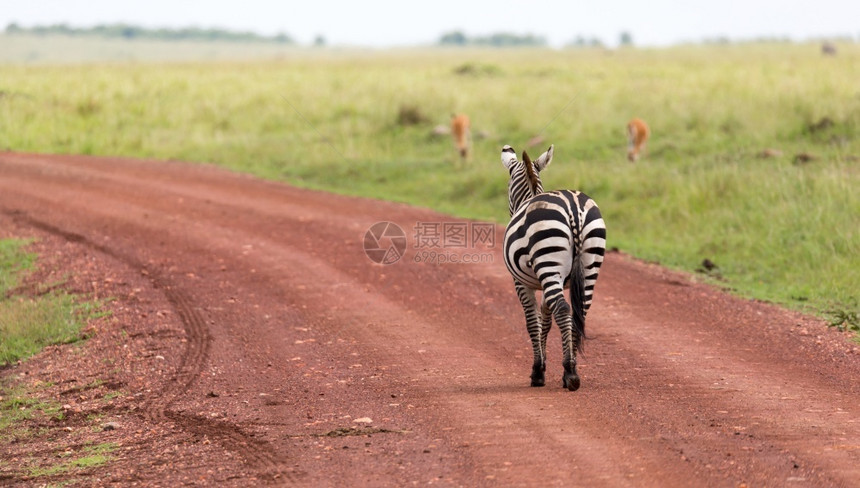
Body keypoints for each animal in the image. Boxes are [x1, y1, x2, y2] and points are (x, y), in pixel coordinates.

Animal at [500, 143, 608, 390]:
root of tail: (574, 208)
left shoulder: (521, 283)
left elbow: (533, 322)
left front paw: (538, 371)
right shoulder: (547, 281)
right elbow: (546, 320)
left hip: (549, 262)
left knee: (564, 309)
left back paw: (570, 372)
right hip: (589, 267)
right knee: (579, 313)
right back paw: (572, 368)